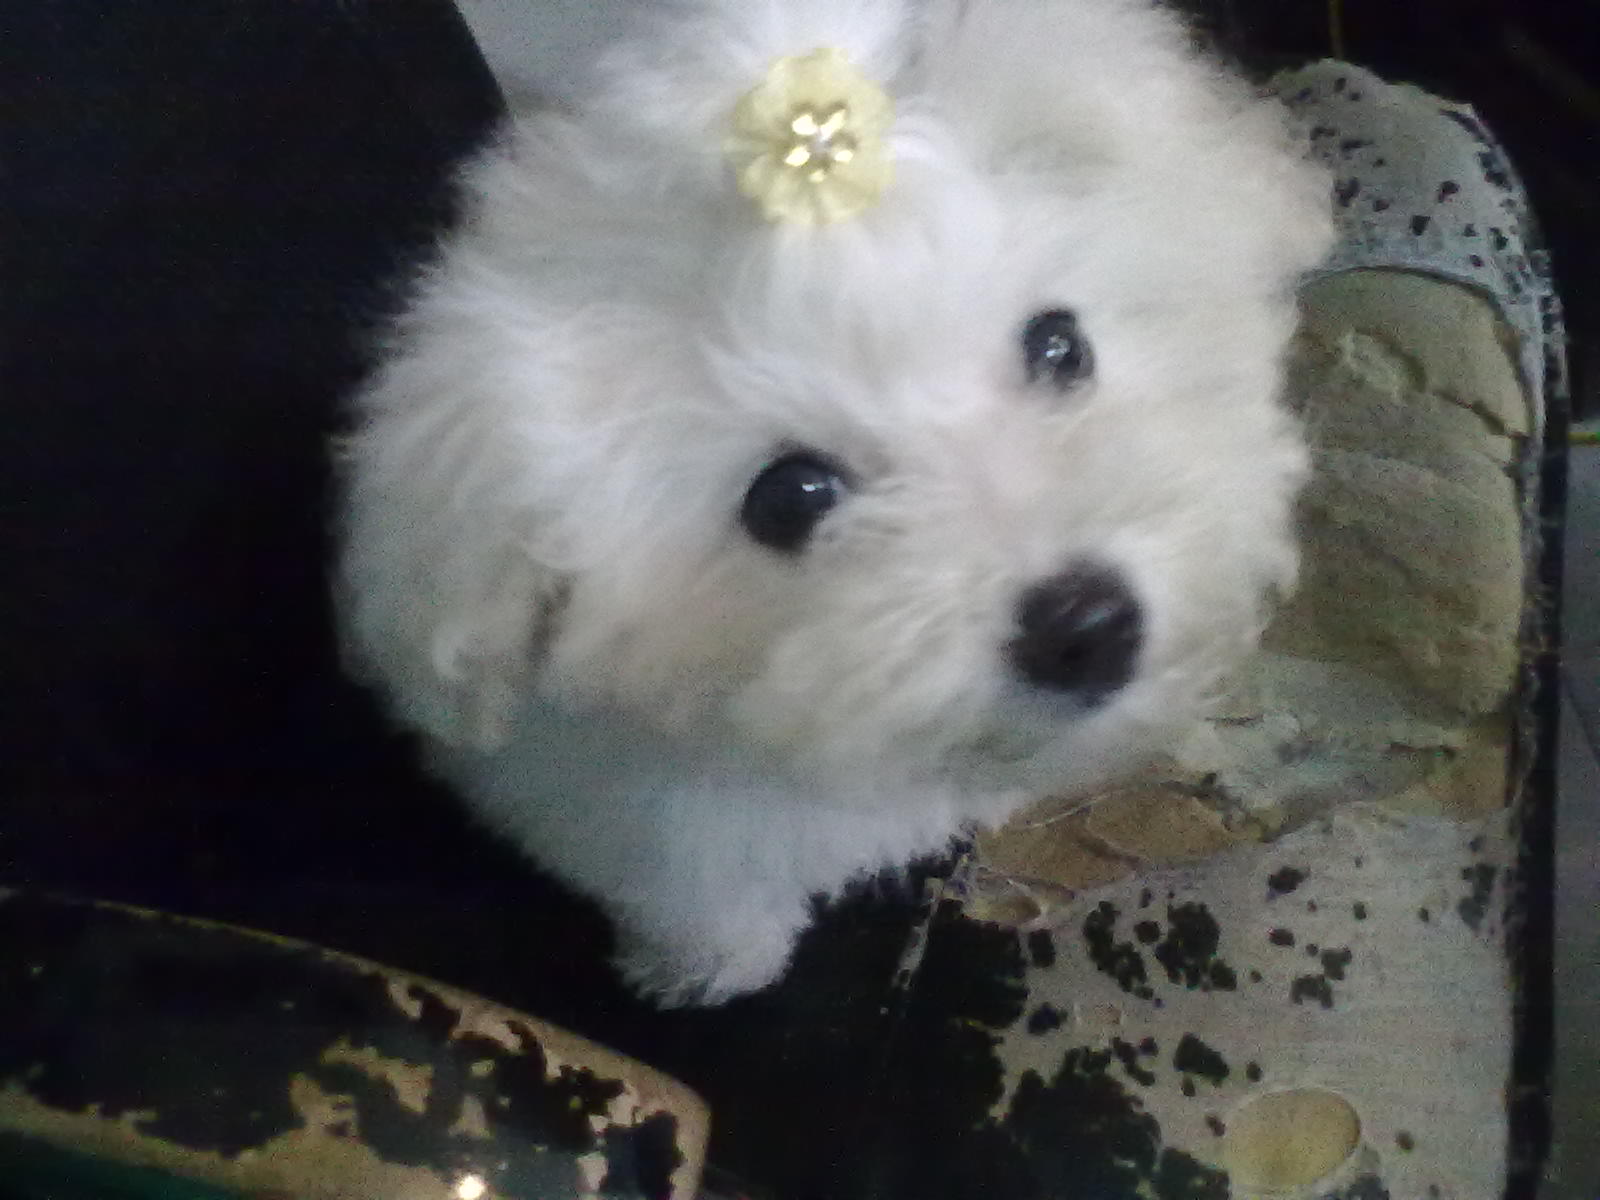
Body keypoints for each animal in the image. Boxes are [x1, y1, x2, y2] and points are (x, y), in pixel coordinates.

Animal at [338, 0, 1332, 1005]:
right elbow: (691, 886)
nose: (1089, 625)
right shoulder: (620, 810)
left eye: (1060, 345)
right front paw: (713, 961)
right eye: (791, 498)